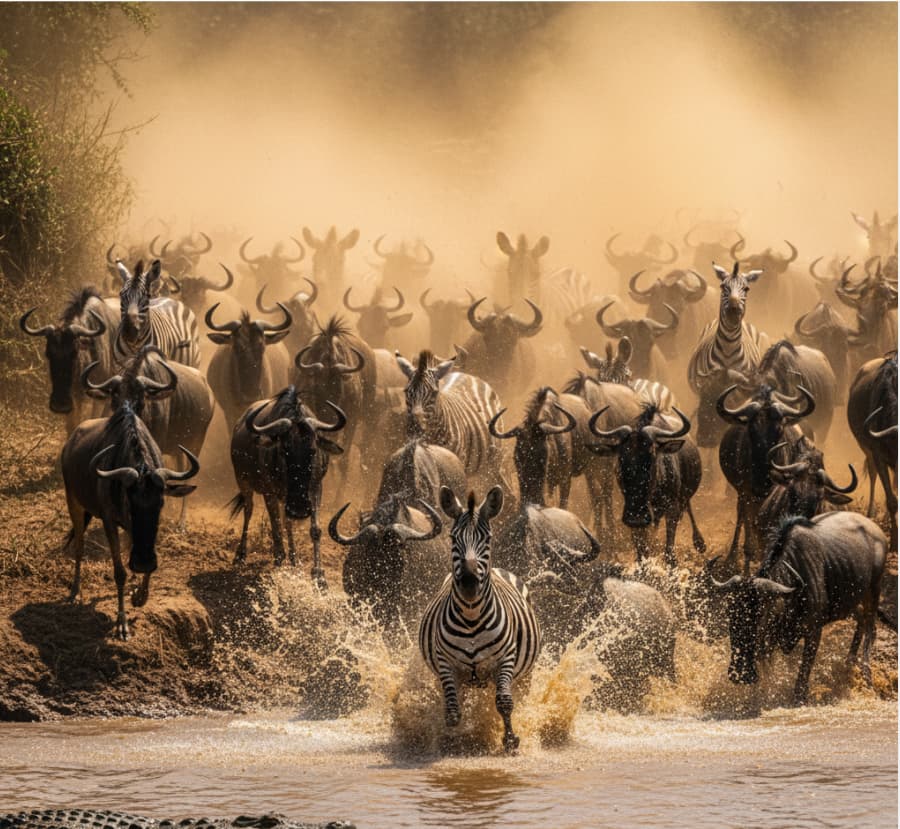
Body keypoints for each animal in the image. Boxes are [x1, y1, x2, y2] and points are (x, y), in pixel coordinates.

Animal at [395, 350, 505, 486]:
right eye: (407, 392)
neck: (431, 436)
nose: (415, 428)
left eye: (434, 393)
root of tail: (465, 374)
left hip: (493, 463)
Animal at [419, 486, 541, 752]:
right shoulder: (445, 662)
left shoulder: (506, 658)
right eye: (453, 539)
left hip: (525, 675)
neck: (471, 617)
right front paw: (453, 739)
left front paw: (510, 741)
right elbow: (453, 712)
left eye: (488, 539)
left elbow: (505, 702)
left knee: (518, 696)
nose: (468, 584)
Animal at [686, 261, 770, 448]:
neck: (728, 347)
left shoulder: (738, 390)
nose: (733, 310)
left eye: (746, 289)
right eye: (723, 287)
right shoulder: (706, 384)